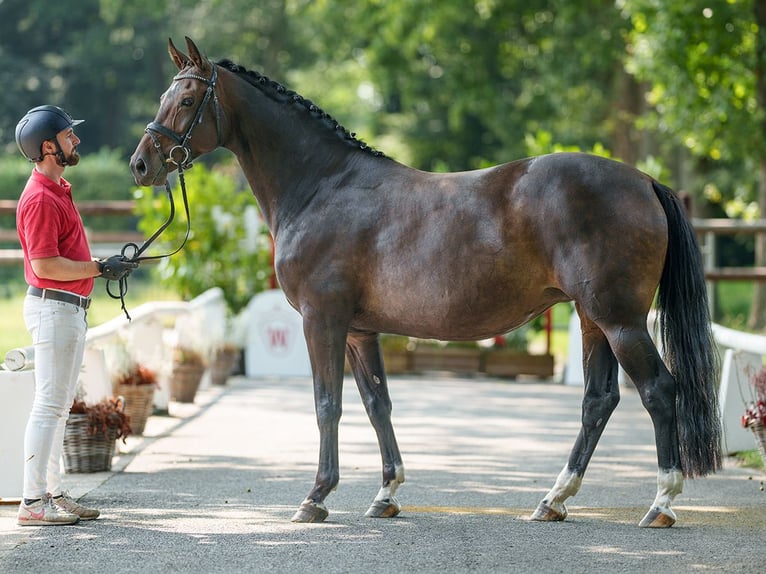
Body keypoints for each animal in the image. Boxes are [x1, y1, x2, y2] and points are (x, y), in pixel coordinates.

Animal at [129, 38, 724, 528]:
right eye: (164, 95)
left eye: (187, 100)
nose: (141, 165)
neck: (322, 185)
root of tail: (643, 180)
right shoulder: (359, 331)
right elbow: (378, 404)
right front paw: (386, 494)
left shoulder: (323, 321)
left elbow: (327, 404)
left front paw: (316, 497)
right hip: (591, 319)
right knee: (598, 400)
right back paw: (553, 501)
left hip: (619, 320)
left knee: (658, 391)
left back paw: (660, 504)